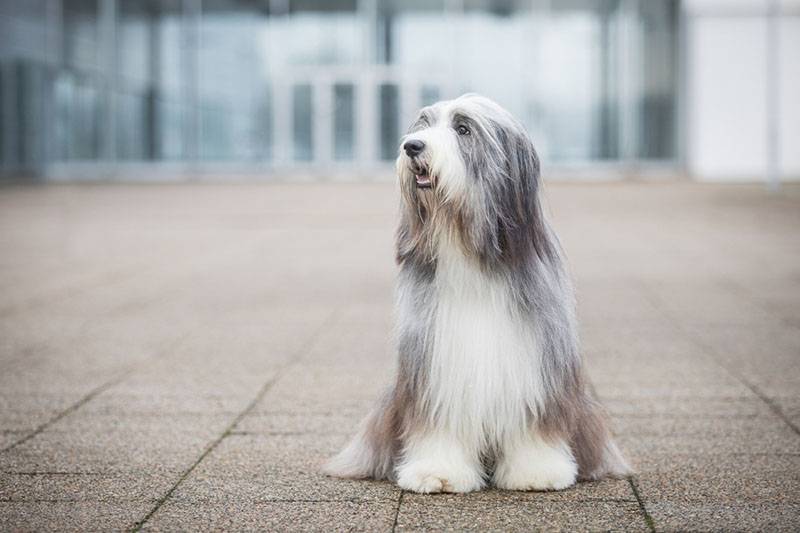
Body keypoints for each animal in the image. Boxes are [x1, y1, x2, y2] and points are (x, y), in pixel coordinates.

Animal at [322, 93, 628, 492]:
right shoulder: (435, 367)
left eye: (463, 129)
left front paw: (537, 471)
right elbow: (438, 426)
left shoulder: (533, 365)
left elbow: (533, 424)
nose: (411, 146)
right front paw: (437, 472)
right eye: (422, 124)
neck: (468, 254)